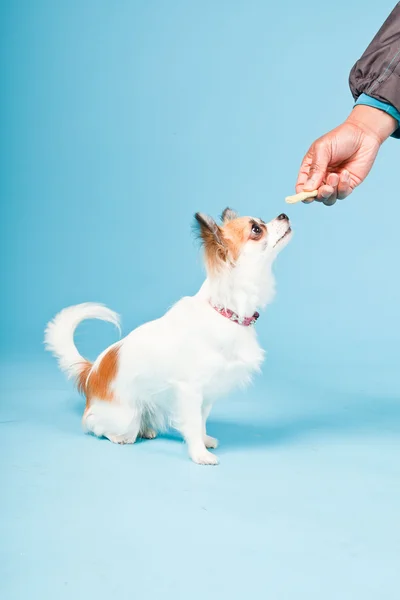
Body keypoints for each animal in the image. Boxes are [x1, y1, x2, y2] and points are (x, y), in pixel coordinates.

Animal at [45, 209, 292, 466]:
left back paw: (147, 430)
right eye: (256, 229)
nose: (284, 214)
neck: (224, 312)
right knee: (95, 425)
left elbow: (201, 421)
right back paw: (118, 437)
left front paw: (204, 440)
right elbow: (192, 423)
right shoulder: (190, 390)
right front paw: (200, 454)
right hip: (125, 418)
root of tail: (91, 373)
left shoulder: (206, 393)